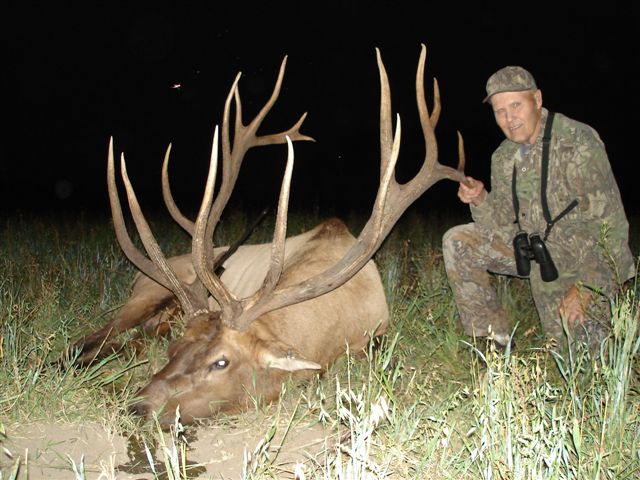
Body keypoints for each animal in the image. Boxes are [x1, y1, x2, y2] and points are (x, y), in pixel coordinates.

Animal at [73, 44, 467, 426]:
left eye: (221, 361)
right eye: (176, 350)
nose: (139, 406)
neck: (336, 326)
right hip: (143, 296)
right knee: (96, 336)